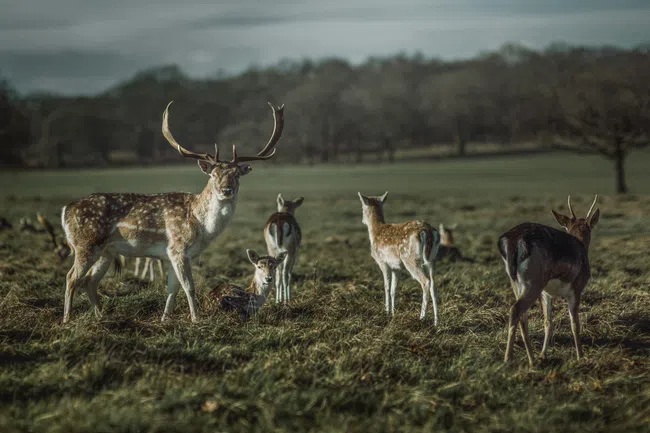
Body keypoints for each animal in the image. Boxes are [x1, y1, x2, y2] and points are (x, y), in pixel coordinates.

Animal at [60, 101, 284, 323]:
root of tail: (65, 210)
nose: (226, 190)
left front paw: (165, 319)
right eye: (213, 174)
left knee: (89, 281)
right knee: (71, 277)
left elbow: (172, 289)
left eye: (237, 174)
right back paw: (67, 319)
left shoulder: (170, 255)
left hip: (106, 251)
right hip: (86, 244)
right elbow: (189, 287)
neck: (201, 226)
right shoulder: (178, 248)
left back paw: (101, 316)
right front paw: (196, 319)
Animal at [358, 192, 441, 324]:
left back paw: (421, 317)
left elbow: (386, 287)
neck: (375, 232)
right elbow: (393, 289)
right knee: (433, 283)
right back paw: (436, 322)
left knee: (425, 281)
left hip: (410, 258)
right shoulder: (396, 267)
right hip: (432, 258)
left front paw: (386, 312)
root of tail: (428, 231)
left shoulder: (382, 262)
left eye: (362, 207)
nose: (362, 220)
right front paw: (393, 313)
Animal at [498, 195, 600, 366]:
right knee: (515, 309)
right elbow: (574, 324)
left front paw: (543, 355)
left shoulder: (546, 293)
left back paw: (532, 359)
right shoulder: (576, 289)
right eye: (590, 228)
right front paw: (580, 356)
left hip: (517, 283)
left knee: (522, 316)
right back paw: (508, 358)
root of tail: (513, 240)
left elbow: (548, 322)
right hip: (534, 282)